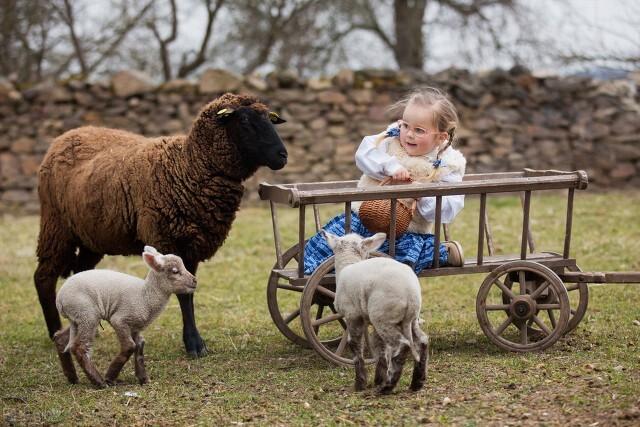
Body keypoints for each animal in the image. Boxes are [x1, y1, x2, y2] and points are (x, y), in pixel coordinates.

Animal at [54, 246, 196, 390]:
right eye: (175, 271)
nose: (195, 281)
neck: (145, 295)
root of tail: (60, 299)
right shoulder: (120, 320)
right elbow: (129, 346)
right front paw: (110, 377)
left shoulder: (135, 326)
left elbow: (140, 346)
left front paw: (143, 378)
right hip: (87, 314)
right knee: (79, 347)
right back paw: (99, 381)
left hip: (78, 317)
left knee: (61, 339)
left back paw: (72, 377)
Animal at [320, 231, 430, 394]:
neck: (348, 263)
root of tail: (410, 294)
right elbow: (380, 347)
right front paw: (378, 379)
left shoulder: (352, 315)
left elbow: (355, 345)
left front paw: (360, 384)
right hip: (406, 319)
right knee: (422, 341)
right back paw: (417, 382)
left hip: (383, 316)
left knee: (402, 345)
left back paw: (388, 387)